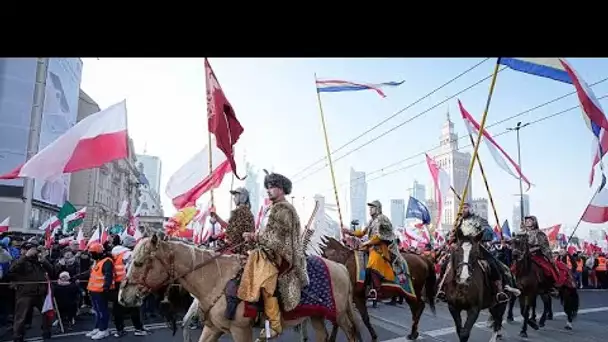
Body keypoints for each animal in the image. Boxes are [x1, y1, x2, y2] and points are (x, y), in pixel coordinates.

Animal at [120, 235, 360, 342]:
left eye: (139, 263)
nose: (123, 297)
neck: (217, 279)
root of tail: (339, 266)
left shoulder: (240, 330)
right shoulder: (212, 329)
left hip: (339, 314)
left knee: (351, 333)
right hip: (317, 315)